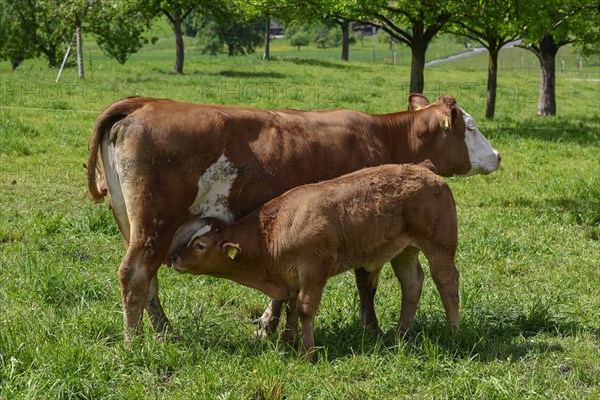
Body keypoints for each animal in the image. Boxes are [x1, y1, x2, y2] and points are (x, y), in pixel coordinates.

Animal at [88, 94, 502, 340]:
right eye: (471, 128)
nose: (498, 156)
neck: (382, 137)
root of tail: (143, 103)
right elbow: (365, 284)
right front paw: (370, 328)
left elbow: (284, 292)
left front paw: (268, 325)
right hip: (154, 227)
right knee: (135, 275)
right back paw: (135, 341)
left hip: (135, 227)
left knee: (148, 280)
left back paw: (164, 331)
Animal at [169, 163, 460, 360]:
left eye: (200, 245)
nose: (175, 257)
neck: (273, 231)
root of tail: (425, 168)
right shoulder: (291, 276)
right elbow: (290, 307)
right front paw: (288, 339)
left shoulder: (313, 271)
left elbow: (305, 309)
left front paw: (306, 353)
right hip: (403, 251)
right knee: (412, 285)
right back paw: (402, 334)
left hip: (440, 246)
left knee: (447, 284)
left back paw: (452, 331)